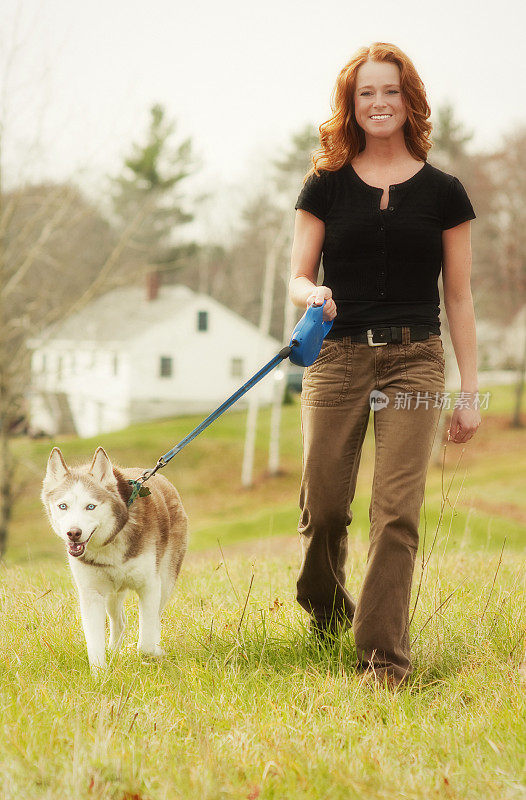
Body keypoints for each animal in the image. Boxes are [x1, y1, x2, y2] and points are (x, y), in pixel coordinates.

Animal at [41, 446, 190, 672]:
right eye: (63, 506)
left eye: (90, 506)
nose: (73, 533)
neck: (108, 545)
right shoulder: (91, 593)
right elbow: (94, 644)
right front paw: (100, 674)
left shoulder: (150, 586)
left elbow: (145, 643)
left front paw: (153, 653)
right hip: (112, 593)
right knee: (119, 621)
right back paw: (113, 650)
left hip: (166, 580)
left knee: (155, 618)